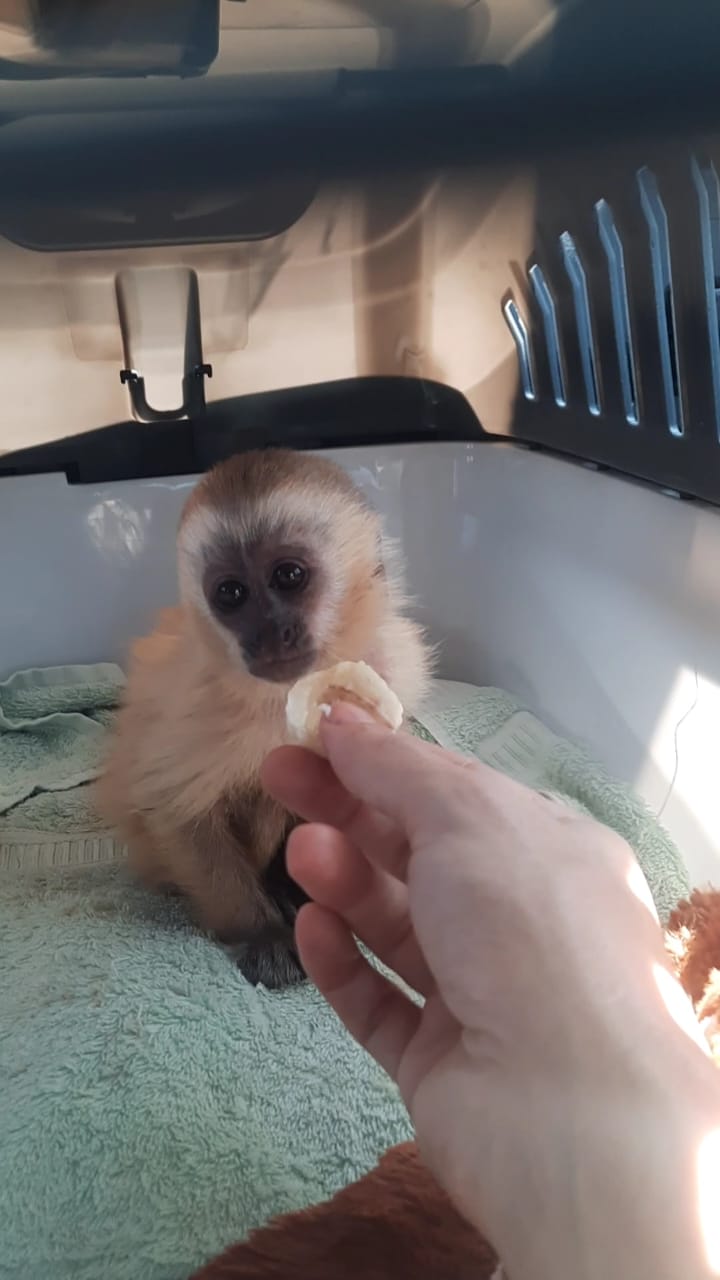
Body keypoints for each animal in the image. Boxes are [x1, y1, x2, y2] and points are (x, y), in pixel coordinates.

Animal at [97, 448, 433, 990]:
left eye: (289, 576)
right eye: (231, 593)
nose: (270, 631)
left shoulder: (391, 667)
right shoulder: (191, 699)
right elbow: (172, 807)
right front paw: (261, 934)